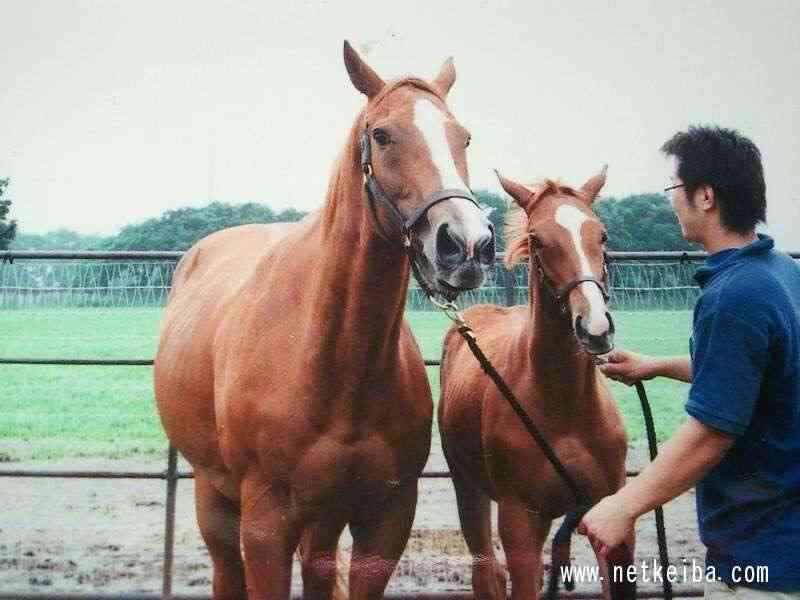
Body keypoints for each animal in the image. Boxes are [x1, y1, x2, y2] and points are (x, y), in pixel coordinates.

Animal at [154, 41, 495, 600]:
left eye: (462, 136)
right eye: (381, 135)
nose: (466, 245)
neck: (329, 356)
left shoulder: (386, 517)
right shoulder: (265, 524)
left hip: (323, 517)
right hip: (216, 496)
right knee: (227, 569)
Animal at [438, 168, 635, 599]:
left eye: (602, 235)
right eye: (538, 239)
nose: (595, 329)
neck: (566, 405)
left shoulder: (612, 517)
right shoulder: (520, 522)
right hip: (468, 489)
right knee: (486, 574)